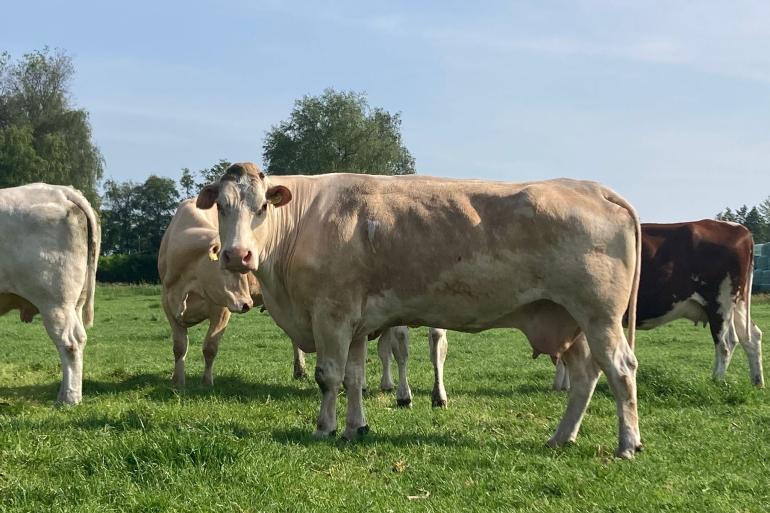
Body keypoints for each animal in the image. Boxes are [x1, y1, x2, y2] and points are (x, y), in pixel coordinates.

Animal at [0, 182, 100, 402]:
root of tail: (61, 191)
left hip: (54, 300)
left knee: (70, 343)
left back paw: (69, 399)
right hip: (74, 302)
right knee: (79, 339)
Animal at [158, 198, 310, 386]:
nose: (247, 304)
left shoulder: (221, 308)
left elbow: (210, 347)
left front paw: (206, 383)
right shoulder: (168, 303)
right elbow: (179, 347)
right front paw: (178, 382)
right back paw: (299, 371)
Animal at [195, 163, 640, 456]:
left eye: (262, 208)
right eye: (221, 207)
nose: (237, 255)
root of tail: (593, 187)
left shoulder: (331, 314)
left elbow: (329, 376)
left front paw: (325, 428)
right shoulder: (356, 321)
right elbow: (355, 378)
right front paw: (355, 427)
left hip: (599, 316)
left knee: (620, 368)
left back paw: (627, 443)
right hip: (568, 318)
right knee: (585, 375)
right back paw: (561, 437)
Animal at [548, 218, 760, 390]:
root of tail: (740, 229)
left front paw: (563, 385)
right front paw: (562, 385)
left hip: (720, 303)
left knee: (726, 343)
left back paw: (716, 380)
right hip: (737, 304)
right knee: (751, 337)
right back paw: (757, 382)